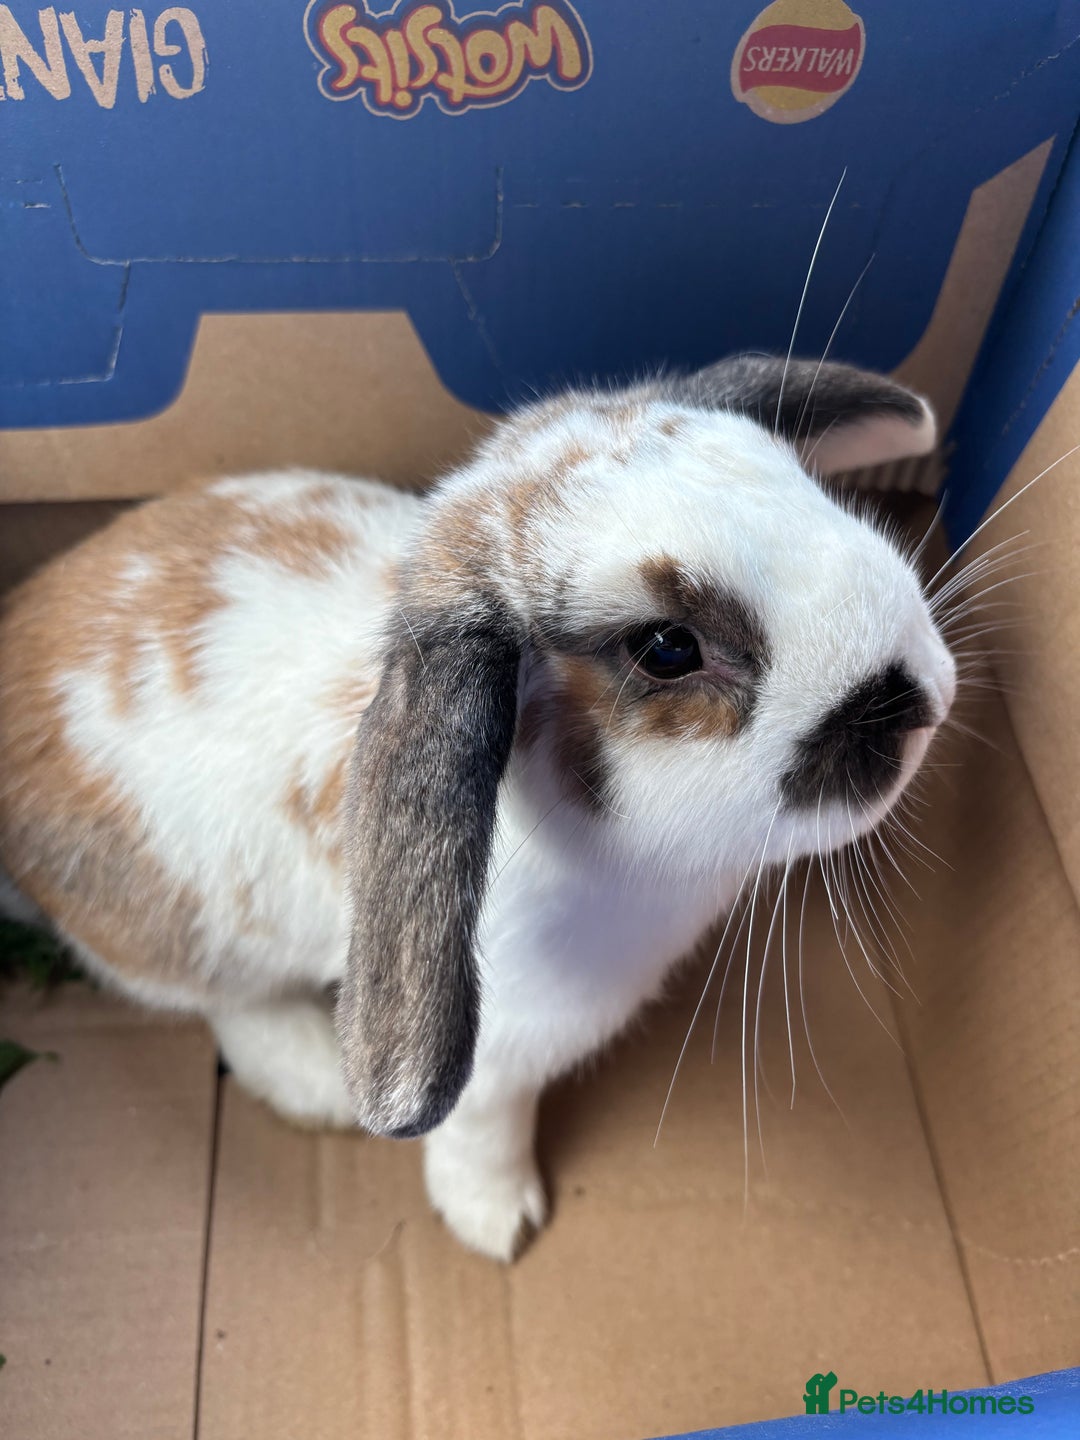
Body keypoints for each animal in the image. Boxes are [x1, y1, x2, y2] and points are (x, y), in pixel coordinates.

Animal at [0, 355, 955, 1260]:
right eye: (667, 648)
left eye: (802, 484)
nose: (926, 697)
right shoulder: (500, 1058)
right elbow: (482, 1132)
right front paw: (498, 1222)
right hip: (176, 931)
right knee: (221, 1007)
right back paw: (321, 1083)